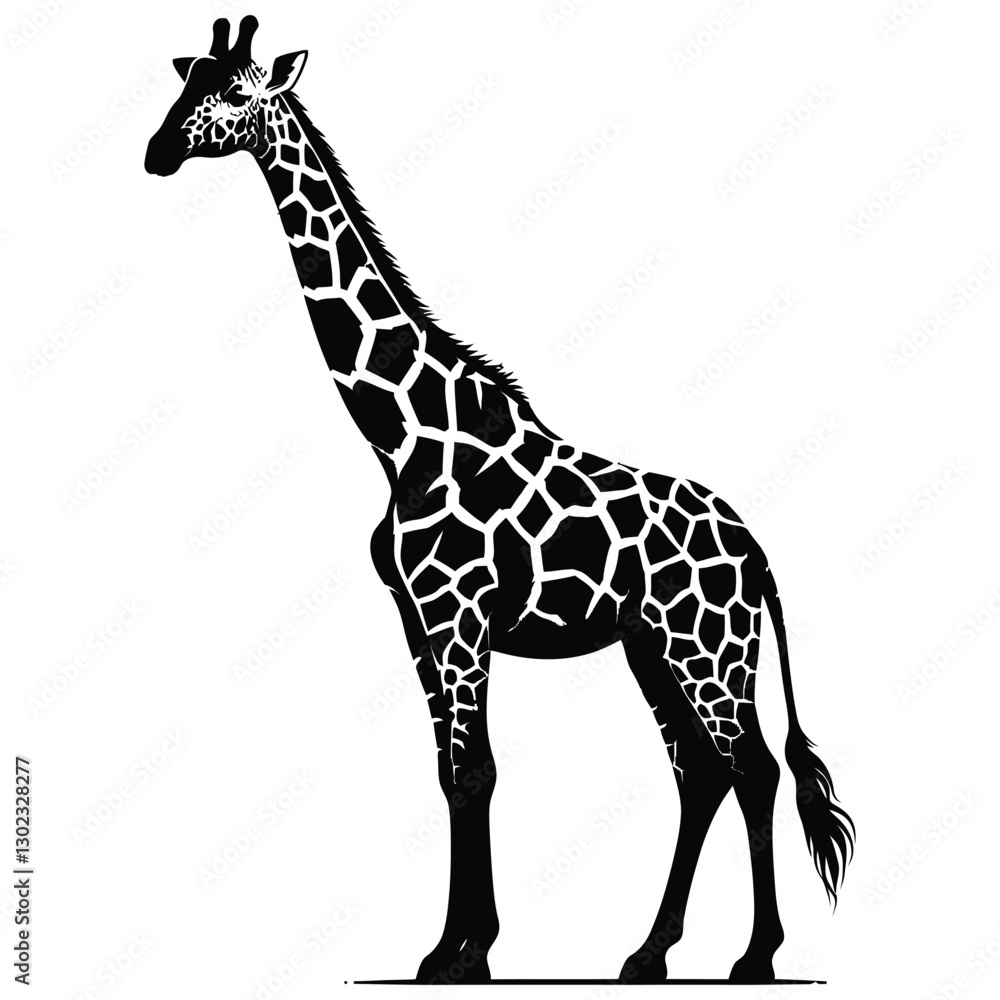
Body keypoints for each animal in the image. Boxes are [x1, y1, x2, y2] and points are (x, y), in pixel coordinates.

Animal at [145, 17, 855, 984]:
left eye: (238, 96)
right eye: (187, 86)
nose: (156, 153)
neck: (403, 437)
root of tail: (758, 551)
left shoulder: (459, 615)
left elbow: (475, 770)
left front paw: (467, 951)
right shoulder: (416, 620)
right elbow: (451, 772)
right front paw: (449, 945)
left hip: (709, 647)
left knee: (752, 768)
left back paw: (755, 957)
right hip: (650, 649)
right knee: (701, 773)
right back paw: (648, 952)